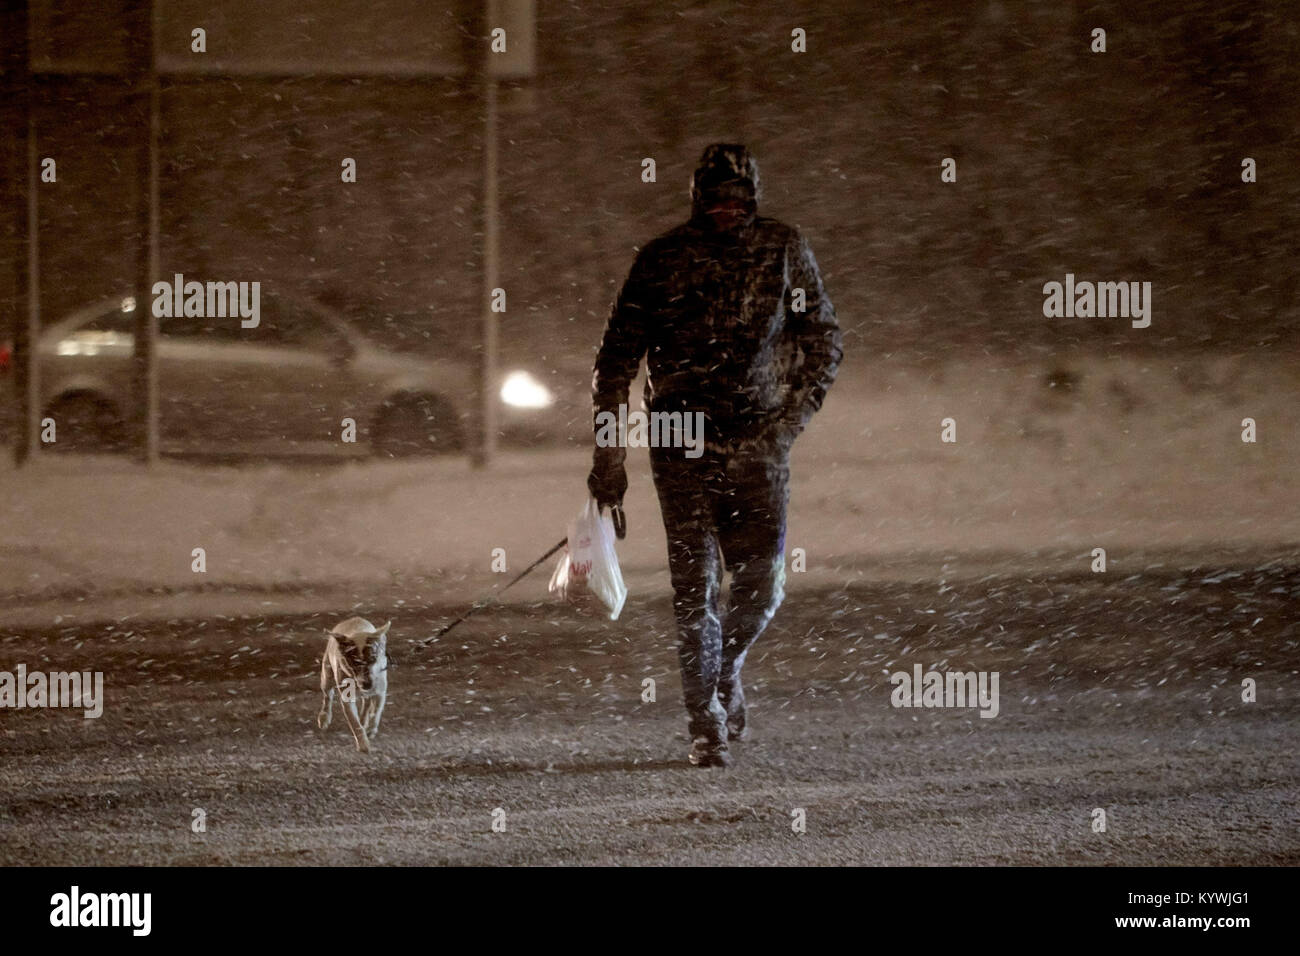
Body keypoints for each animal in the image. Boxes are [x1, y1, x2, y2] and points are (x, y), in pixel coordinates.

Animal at [317, 616, 387, 749]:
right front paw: (363, 744)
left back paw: (364, 720)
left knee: (367, 703)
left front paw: (371, 729)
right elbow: (354, 722)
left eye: (373, 659)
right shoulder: (347, 699)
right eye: (353, 663)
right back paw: (324, 717)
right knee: (327, 696)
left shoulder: (380, 691)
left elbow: (376, 711)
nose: (367, 684)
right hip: (326, 675)